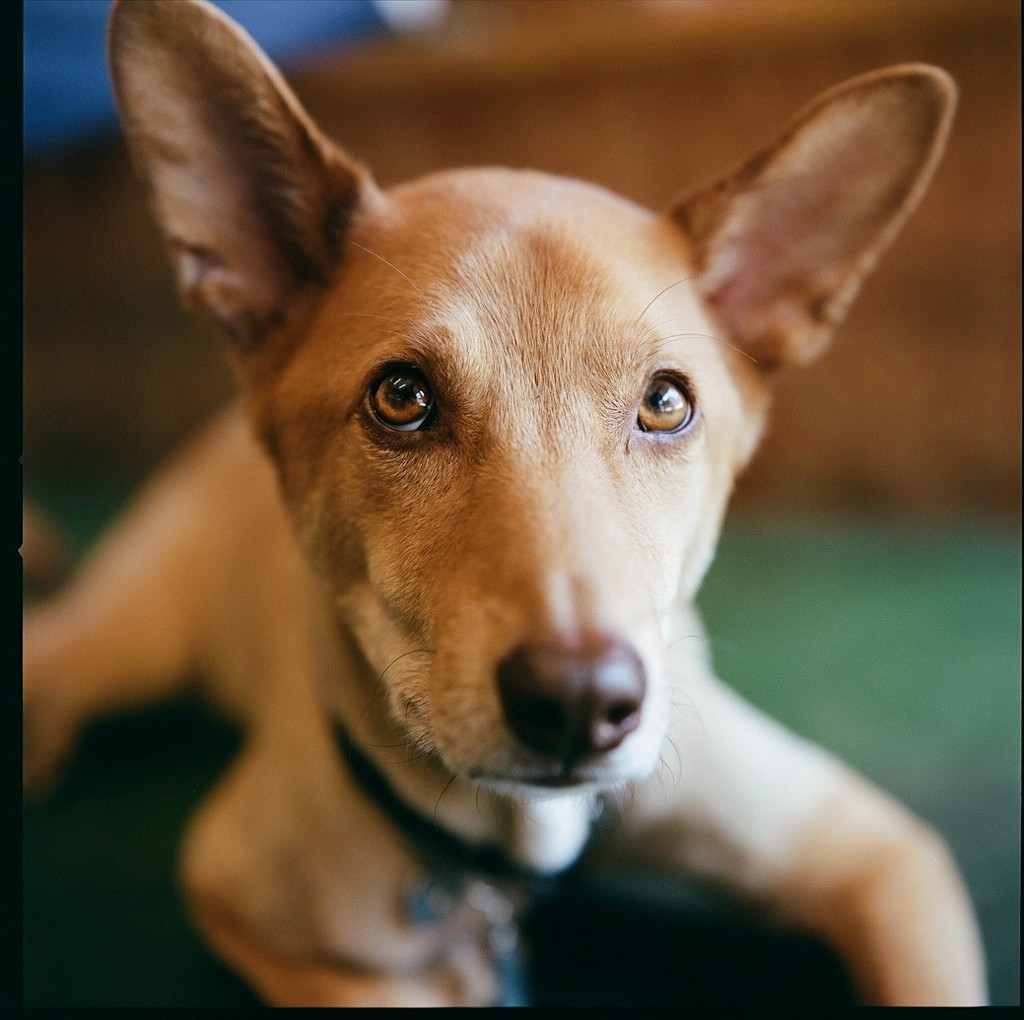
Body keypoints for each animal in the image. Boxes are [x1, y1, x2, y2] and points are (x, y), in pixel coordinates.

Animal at [22, 0, 983, 1003]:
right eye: (401, 397)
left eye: (665, 402)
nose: (579, 702)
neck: (521, 846)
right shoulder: (239, 888)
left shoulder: (882, 856)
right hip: (130, 641)